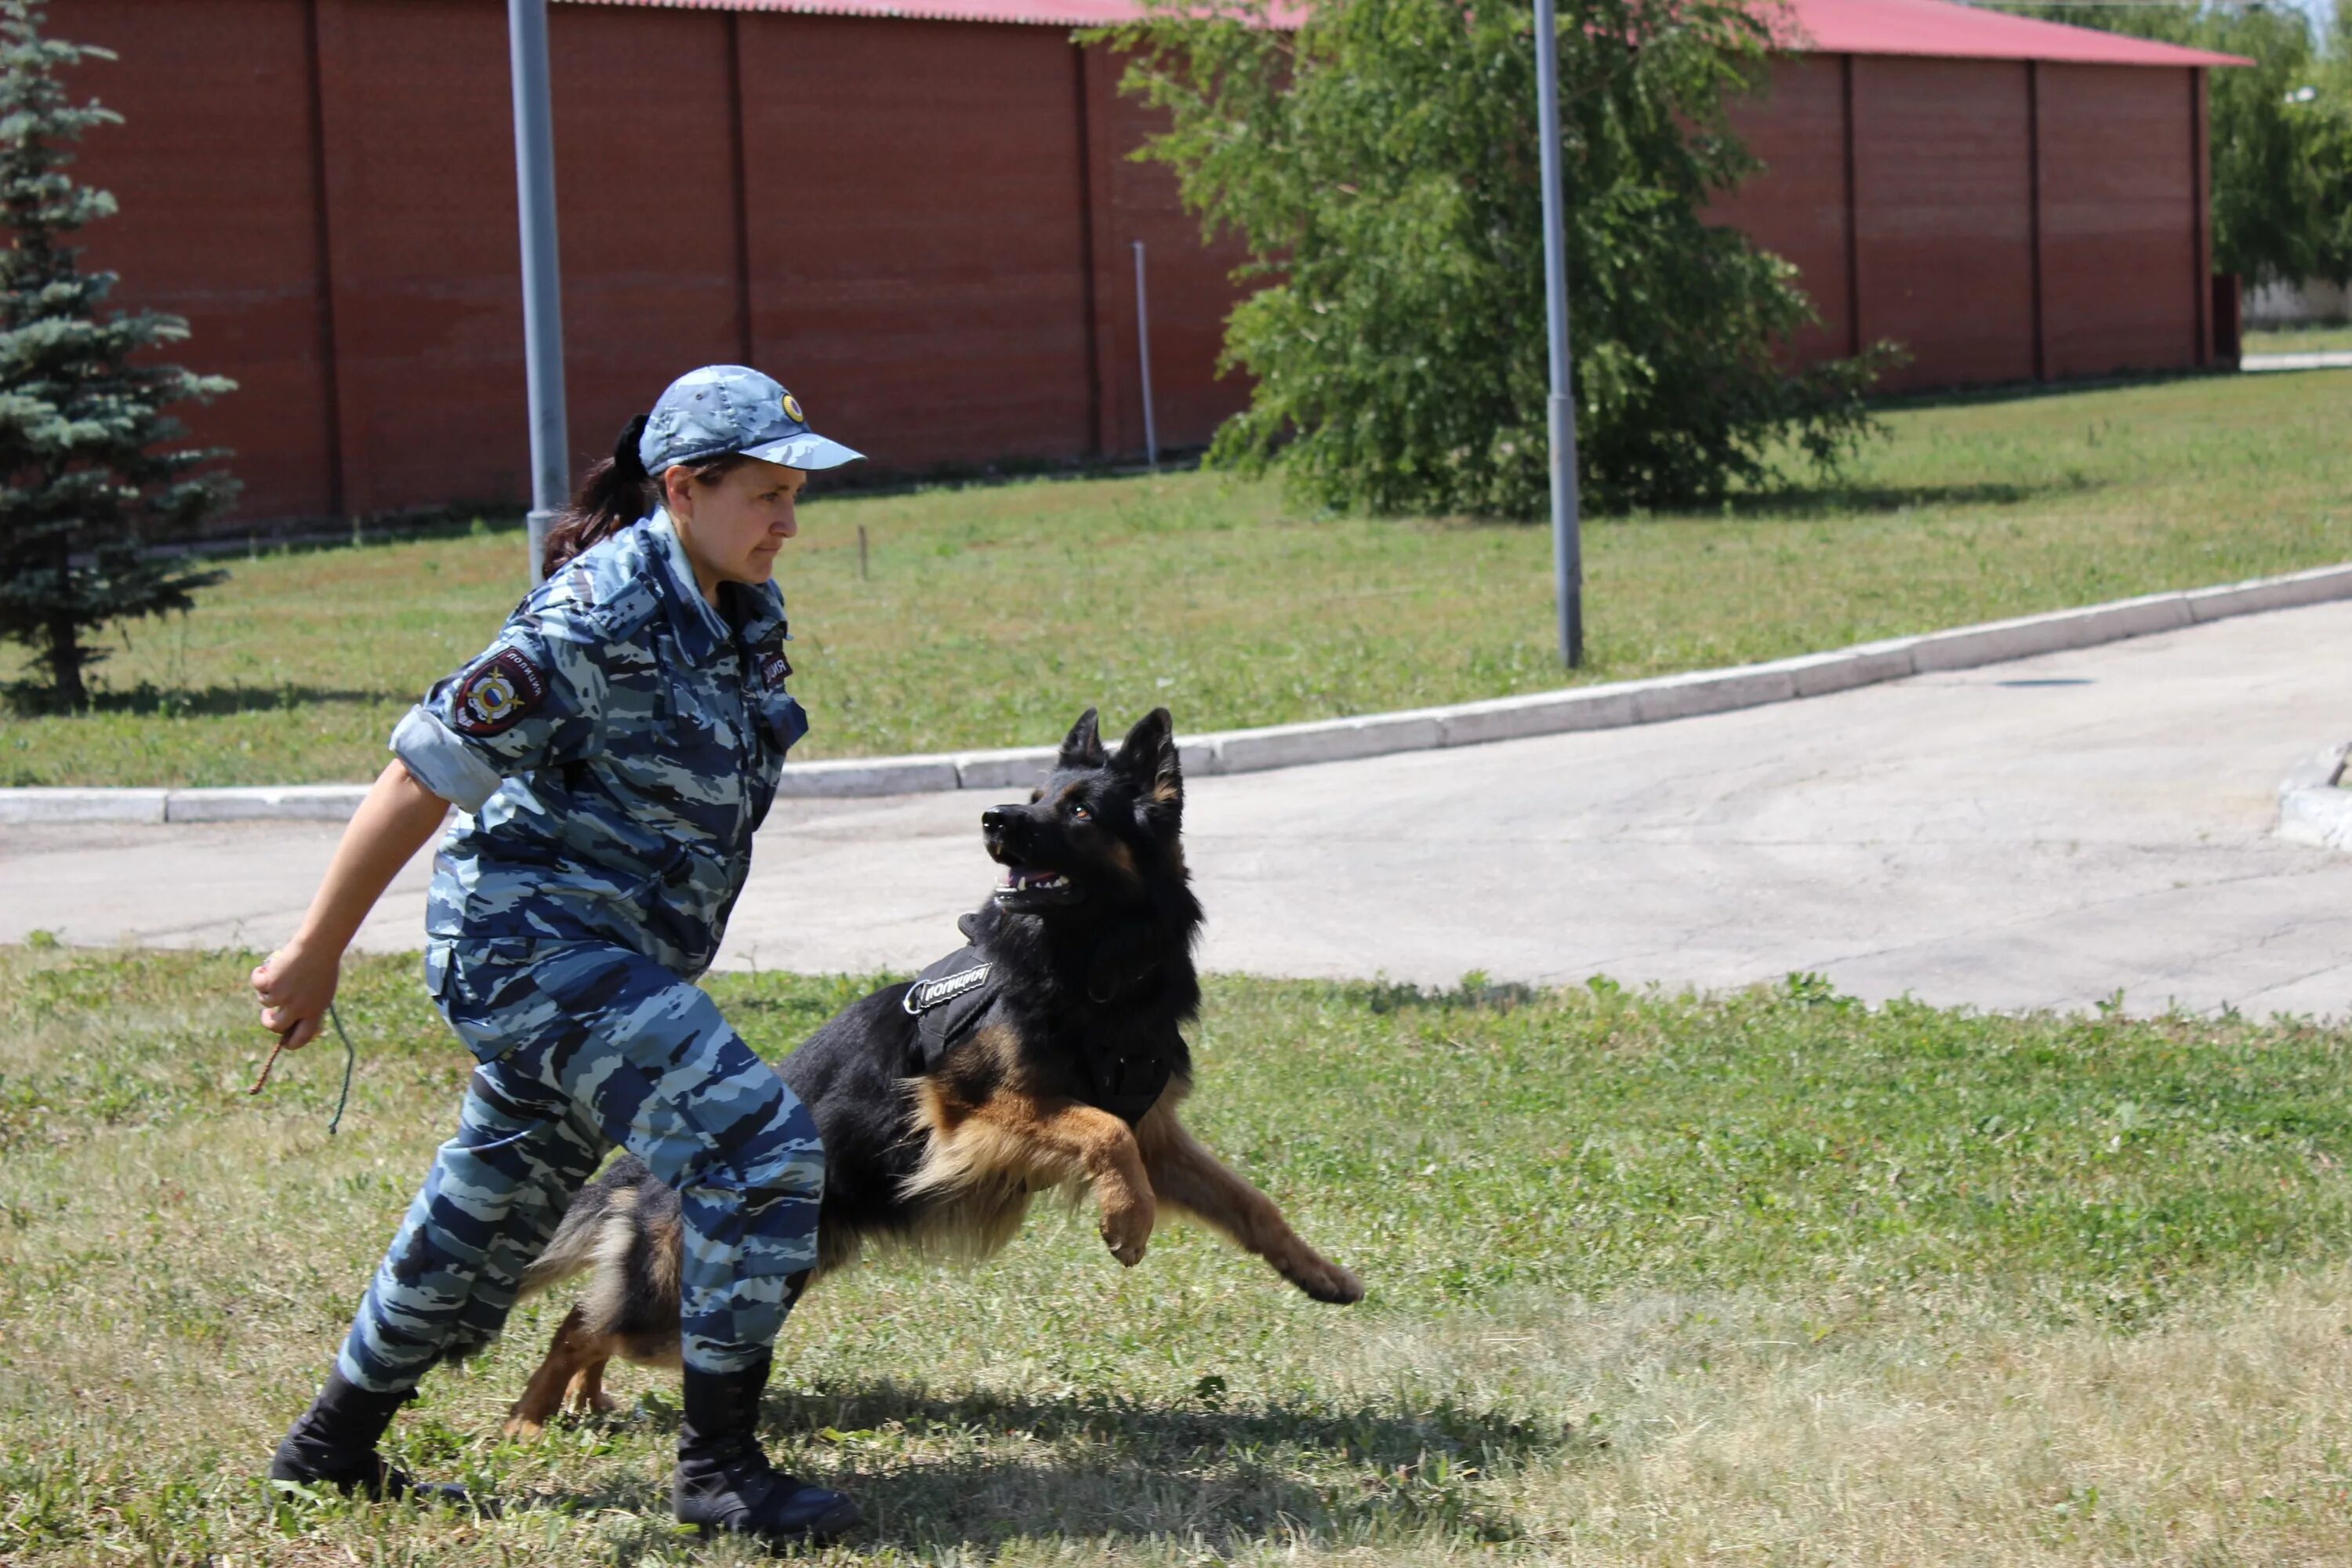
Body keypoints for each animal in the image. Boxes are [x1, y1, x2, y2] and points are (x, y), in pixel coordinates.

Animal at [506, 710, 1374, 1439]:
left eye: (1079, 812)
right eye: (1035, 798)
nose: (994, 819)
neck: (1089, 963)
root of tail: (642, 1175)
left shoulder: (1155, 1129)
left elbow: (1247, 1200)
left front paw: (1320, 1272)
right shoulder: (965, 1114)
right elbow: (1102, 1132)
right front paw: (1127, 1220)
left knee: (595, 1317)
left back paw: (581, 1400)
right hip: (699, 1298)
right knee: (583, 1322)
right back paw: (529, 1417)